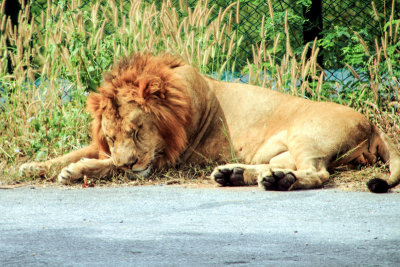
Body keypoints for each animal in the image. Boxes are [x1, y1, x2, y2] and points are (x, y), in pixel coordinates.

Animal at [20, 53, 400, 194]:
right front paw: (33, 166)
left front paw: (78, 172)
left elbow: (106, 166)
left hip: (306, 135)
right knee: (285, 167)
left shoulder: (169, 159)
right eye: (111, 137)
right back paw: (237, 174)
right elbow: (74, 152)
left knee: (318, 174)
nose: (130, 162)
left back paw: (276, 182)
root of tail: (372, 123)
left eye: (137, 131)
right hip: (280, 152)